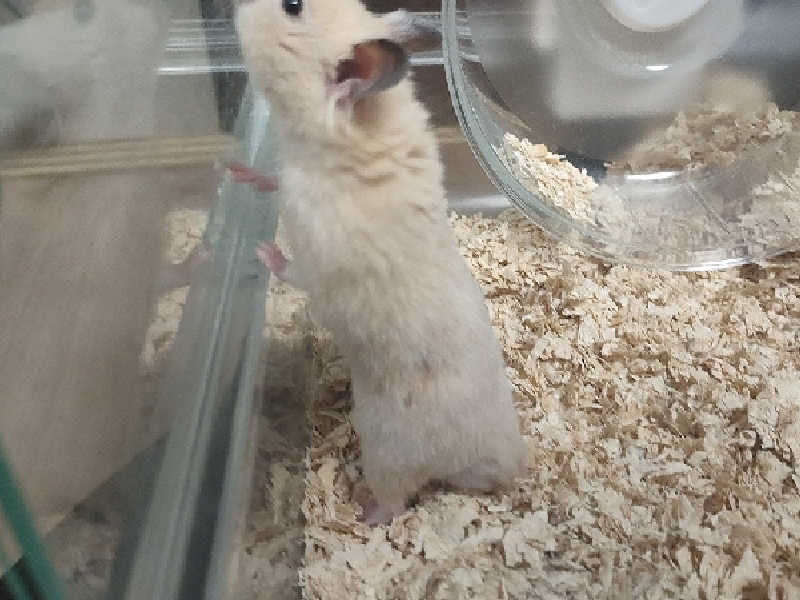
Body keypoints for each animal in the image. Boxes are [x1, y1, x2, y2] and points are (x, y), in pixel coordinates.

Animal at [235, 0, 528, 524]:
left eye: (292, 6)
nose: (233, 10)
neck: (362, 126)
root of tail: (494, 461)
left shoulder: (317, 252)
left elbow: (291, 268)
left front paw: (261, 251)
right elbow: (270, 177)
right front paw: (234, 170)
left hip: (388, 450)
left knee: (396, 500)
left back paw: (360, 511)